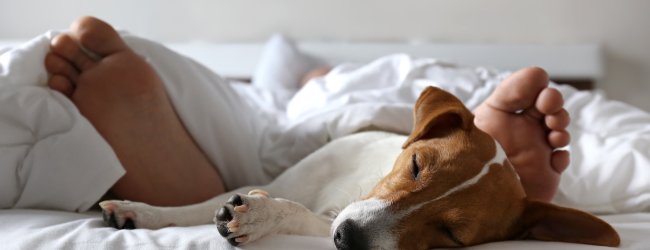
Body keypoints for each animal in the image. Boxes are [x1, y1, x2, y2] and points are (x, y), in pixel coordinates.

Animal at [100, 86, 616, 250]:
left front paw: (263, 215)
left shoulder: (323, 222)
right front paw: (138, 211)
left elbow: (294, 215)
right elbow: (195, 205)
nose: (348, 237)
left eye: (452, 235)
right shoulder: (277, 181)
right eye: (415, 165)